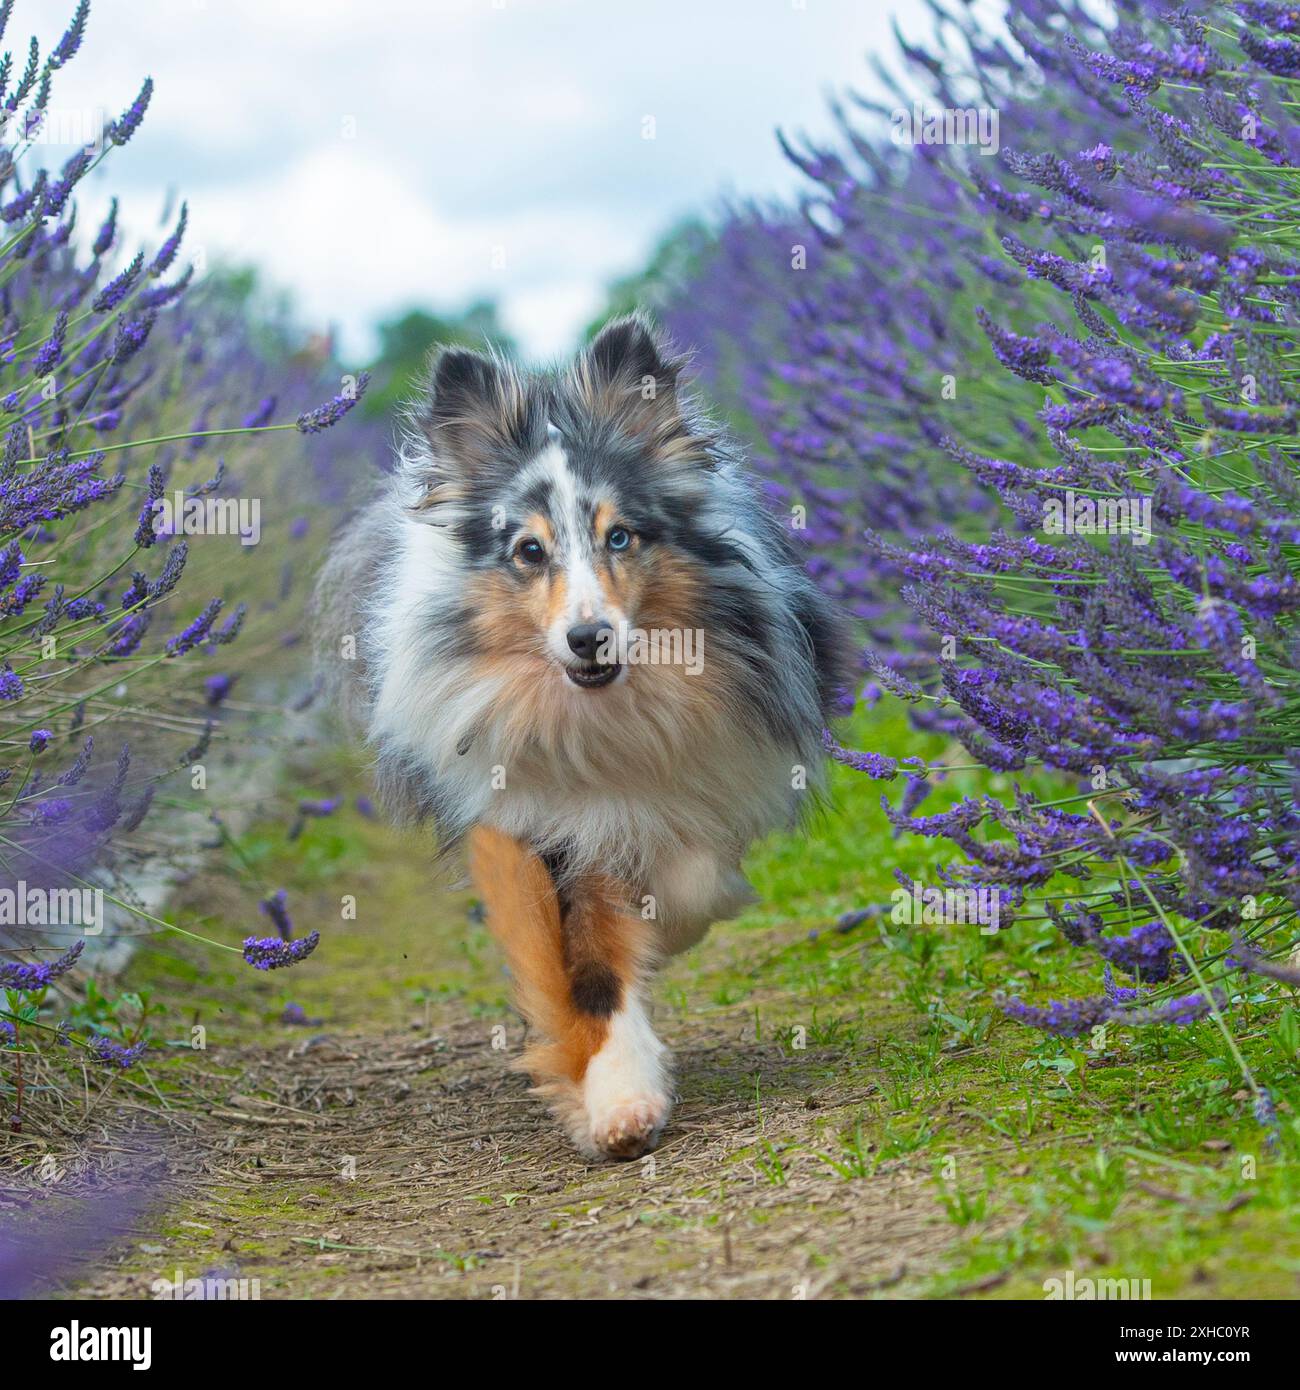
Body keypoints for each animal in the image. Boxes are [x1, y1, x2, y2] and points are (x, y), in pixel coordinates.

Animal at [315, 318, 845, 1162]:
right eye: (529, 551)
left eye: (620, 537)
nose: (587, 638)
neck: (601, 715)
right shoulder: (541, 821)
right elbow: (586, 961)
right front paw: (620, 1104)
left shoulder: (709, 780)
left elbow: (691, 879)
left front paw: (669, 925)